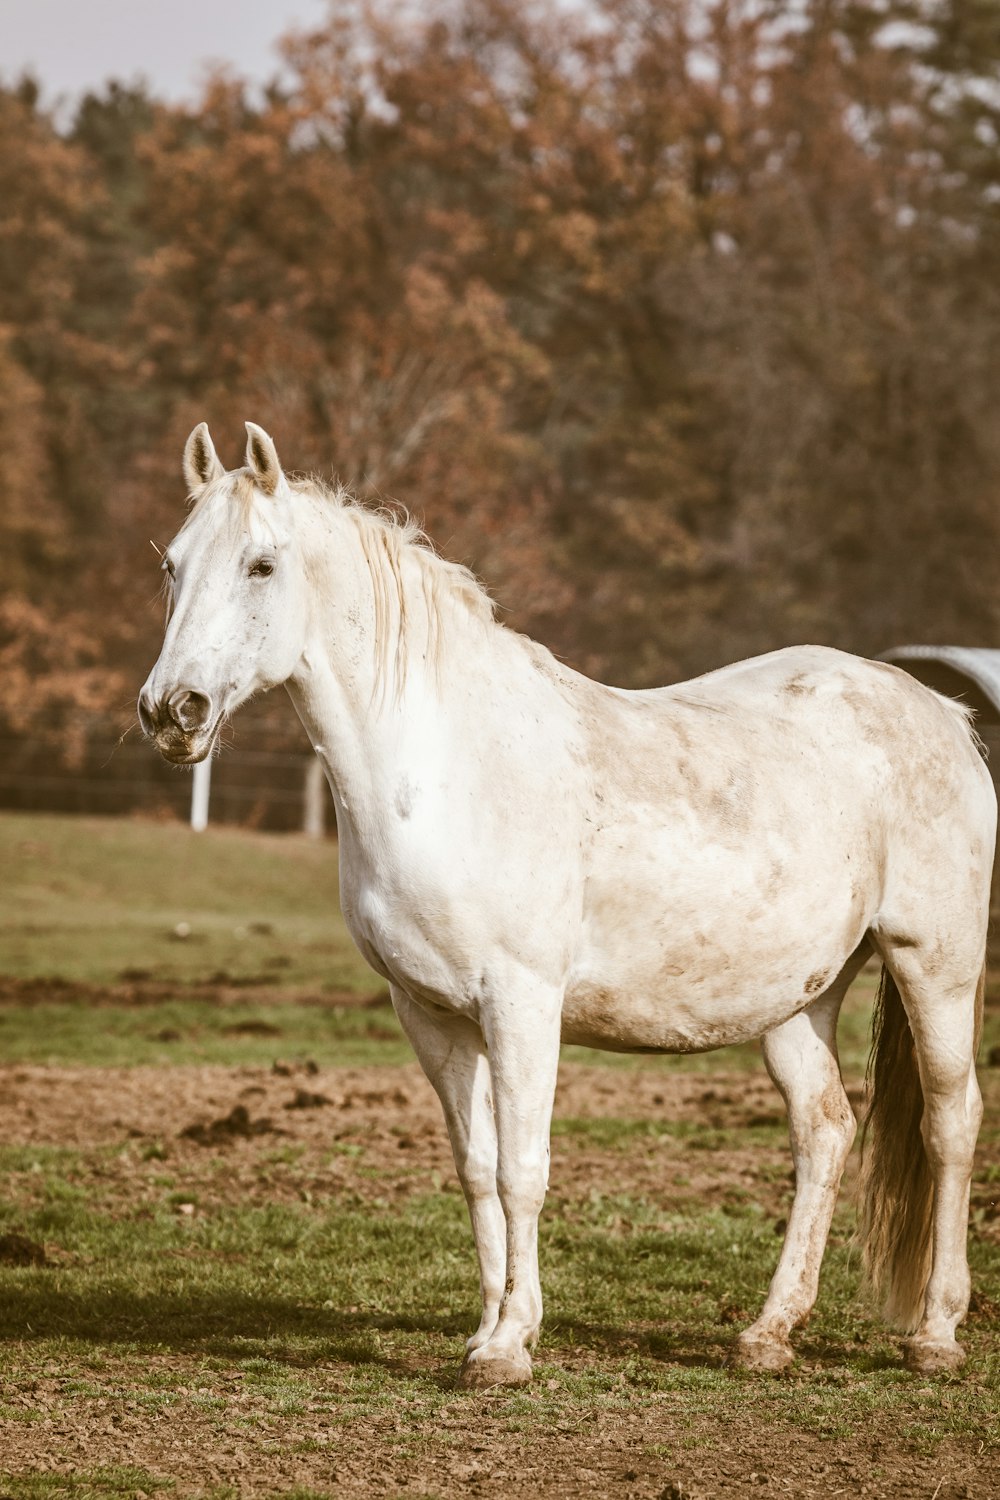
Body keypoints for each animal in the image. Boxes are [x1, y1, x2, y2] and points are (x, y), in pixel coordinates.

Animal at [138, 423, 995, 1380]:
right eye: (173, 565)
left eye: (260, 565)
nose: (172, 711)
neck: (446, 767)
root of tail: (943, 712)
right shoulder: (431, 1016)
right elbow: (477, 1168)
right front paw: (485, 1330)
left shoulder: (521, 1004)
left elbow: (524, 1168)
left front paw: (511, 1344)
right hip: (801, 997)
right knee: (824, 1132)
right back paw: (769, 1334)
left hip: (934, 964)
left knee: (951, 1123)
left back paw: (935, 1334)